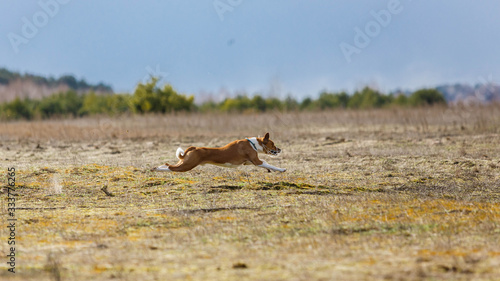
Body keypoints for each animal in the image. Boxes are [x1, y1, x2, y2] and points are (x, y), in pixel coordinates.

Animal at [158, 132, 288, 172]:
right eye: (273, 144)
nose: (280, 149)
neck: (253, 144)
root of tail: (193, 148)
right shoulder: (257, 161)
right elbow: (268, 163)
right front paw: (281, 169)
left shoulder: (249, 162)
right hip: (188, 165)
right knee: (171, 168)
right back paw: (158, 169)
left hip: (186, 162)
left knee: (169, 165)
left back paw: (158, 167)